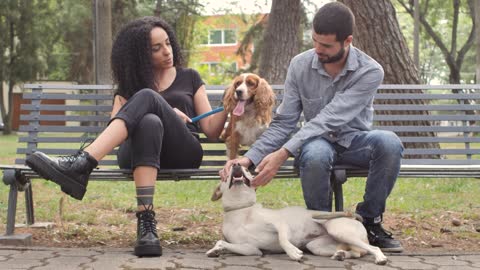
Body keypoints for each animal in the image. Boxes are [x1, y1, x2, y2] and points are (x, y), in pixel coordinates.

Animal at [208, 163, 388, 264]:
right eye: (227, 172)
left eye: (247, 169)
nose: (237, 164)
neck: (242, 210)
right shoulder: (250, 249)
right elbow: (221, 242)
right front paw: (215, 250)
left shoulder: (280, 224)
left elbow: (282, 239)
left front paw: (293, 252)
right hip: (317, 246)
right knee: (356, 253)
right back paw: (341, 255)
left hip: (338, 230)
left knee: (372, 248)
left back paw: (380, 258)